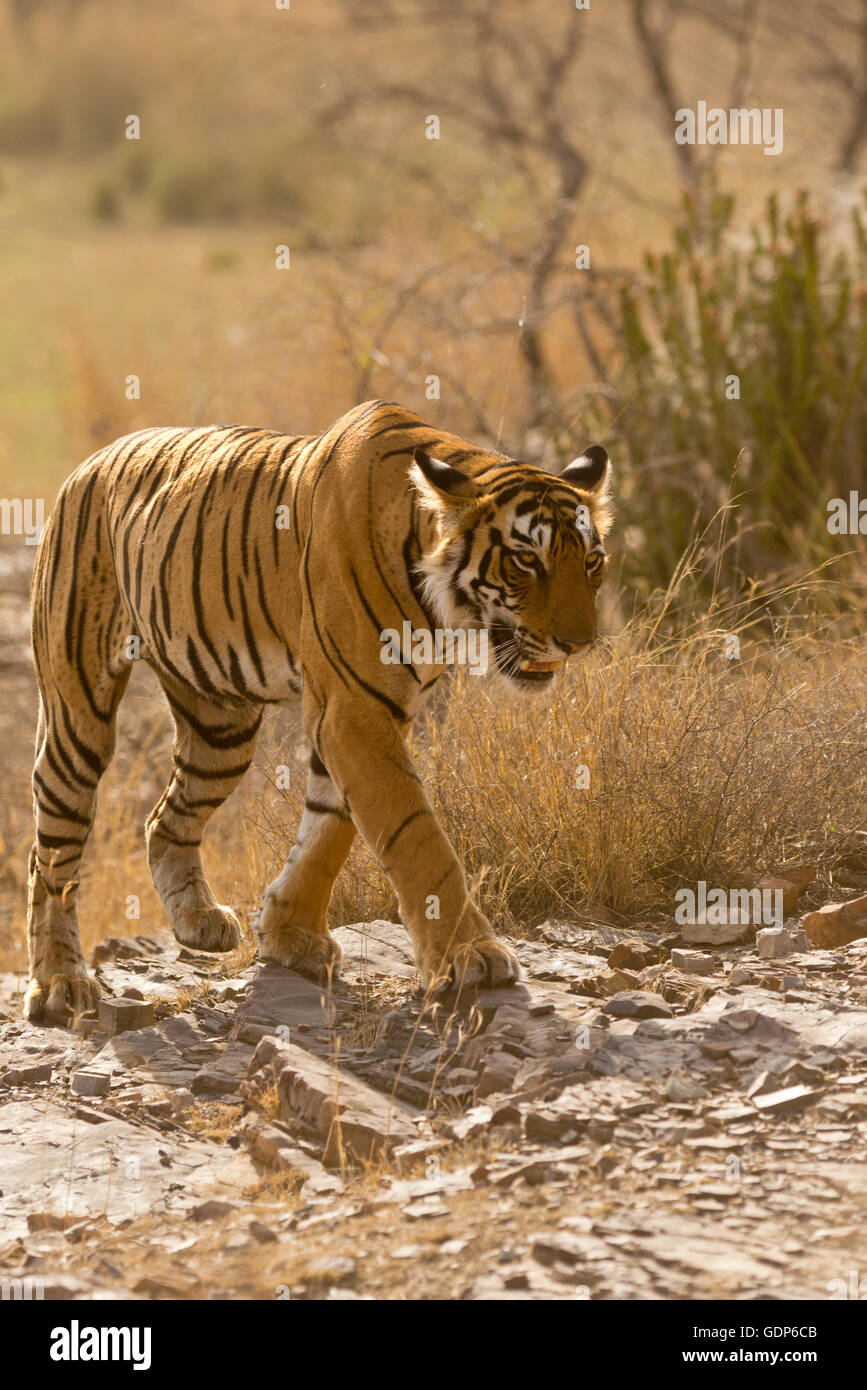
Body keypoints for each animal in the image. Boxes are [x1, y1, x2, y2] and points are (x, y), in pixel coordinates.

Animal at [25, 399, 613, 1022]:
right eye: (527, 562)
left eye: (592, 562)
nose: (579, 643)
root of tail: (91, 461)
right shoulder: (353, 709)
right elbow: (416, 836)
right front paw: (469, 955)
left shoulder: (362, 710)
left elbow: (329, 829)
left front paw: (289, 934)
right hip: (76, 713)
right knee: (51, 854)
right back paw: (60, 983)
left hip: (221, 729)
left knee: (164, 817)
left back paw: (198, 921)